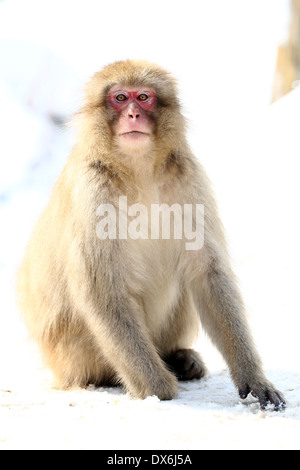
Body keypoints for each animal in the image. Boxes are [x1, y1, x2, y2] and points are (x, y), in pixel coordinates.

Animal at [17, 60, 288, 410]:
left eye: (143, 97)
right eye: (120, 98)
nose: (133, 114)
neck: (138, 169)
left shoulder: (188, 176)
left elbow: (207, 274)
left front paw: (254, 379)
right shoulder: (92, 189)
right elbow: (101, 289)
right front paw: (157, 388)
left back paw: (180, 358)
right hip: (72, 354)